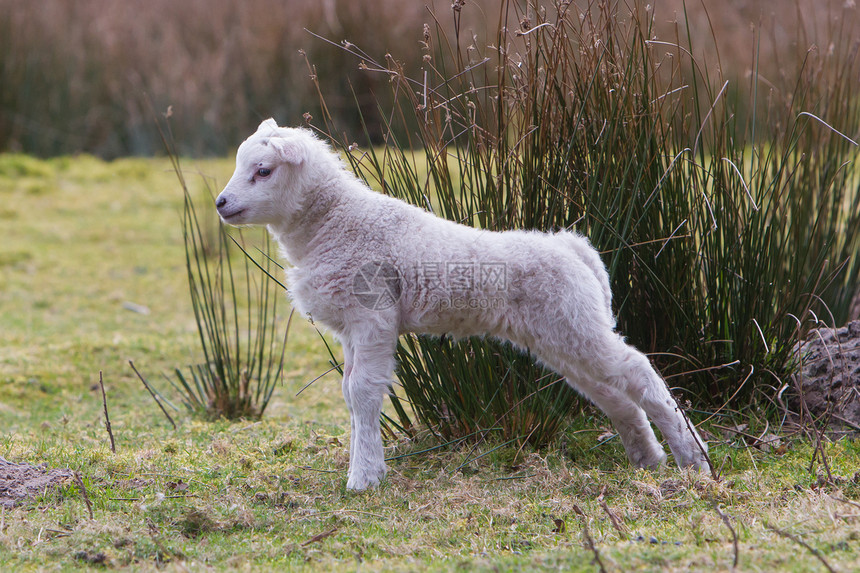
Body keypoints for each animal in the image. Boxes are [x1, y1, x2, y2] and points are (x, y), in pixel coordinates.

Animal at [215, 118, 704, 490]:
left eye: (263, 171)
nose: (221, 203)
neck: (334, 222)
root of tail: (572, 247)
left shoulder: (373, 315)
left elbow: (364, 392)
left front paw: (363, 479)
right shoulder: (353, 328)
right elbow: (350, 393)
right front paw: (367, 467)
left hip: (575, 325)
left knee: (637, 370)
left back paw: (694, 459)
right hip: (563, 333)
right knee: (613, 393)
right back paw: (648, 458)